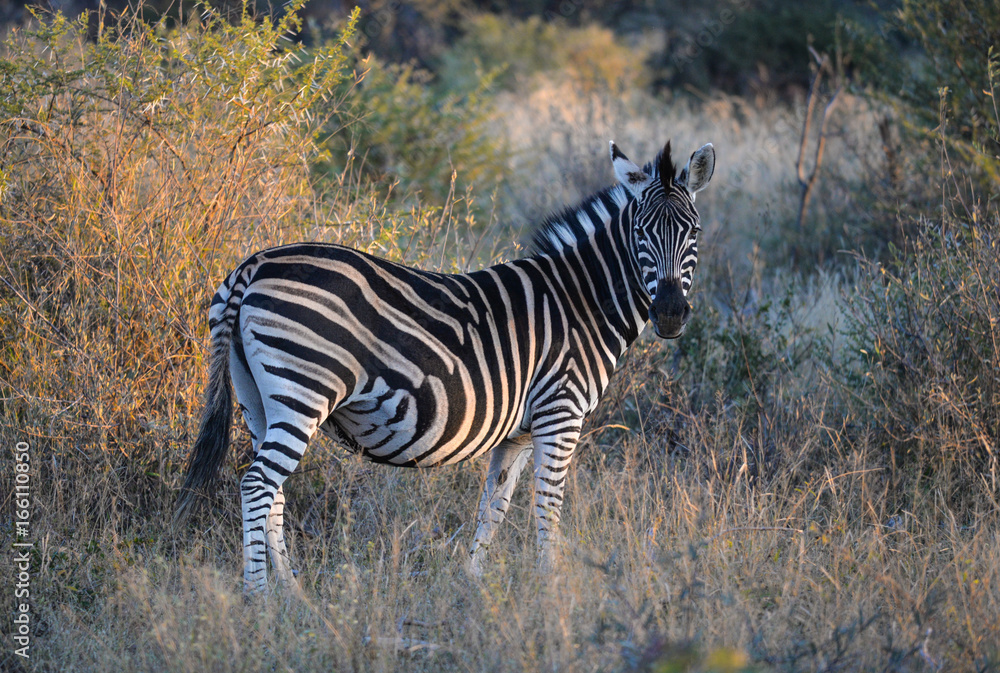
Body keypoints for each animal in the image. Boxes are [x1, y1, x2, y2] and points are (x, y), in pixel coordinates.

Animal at [174, 140, 715, 594]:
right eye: (640, 233)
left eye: (694, 232)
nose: (670, 313)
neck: (580, 301)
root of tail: (253, 265)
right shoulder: (559, 415)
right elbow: (548, 507)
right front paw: (552, 589)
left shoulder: (518, 433)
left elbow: (493, 508)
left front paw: (472, 585)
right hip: (302, 389)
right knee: (257, 486)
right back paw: (260, 597)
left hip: (257, 399)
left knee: (275, 495)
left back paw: (293, 594)